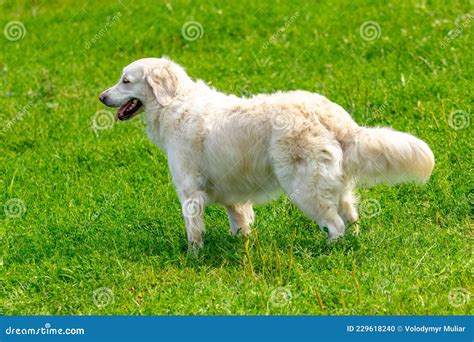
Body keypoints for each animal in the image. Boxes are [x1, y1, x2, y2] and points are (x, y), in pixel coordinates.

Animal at [99, 56, 434, 248]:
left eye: (126, 80)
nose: (101, 96)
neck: (174, 103)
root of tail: (330, 113)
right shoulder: (232, 196)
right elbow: (240, 224)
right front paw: (241, 247)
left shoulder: (190, 193)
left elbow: (194, 233)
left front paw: (193, 257)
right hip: (335, 186)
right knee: (351, 218)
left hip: (304, 189)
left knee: (335, 225)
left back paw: (329, 251)